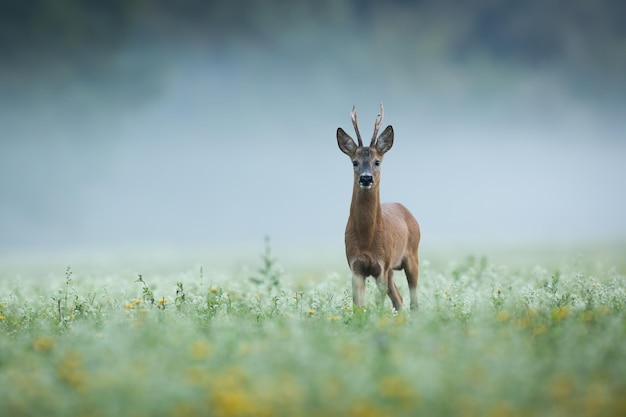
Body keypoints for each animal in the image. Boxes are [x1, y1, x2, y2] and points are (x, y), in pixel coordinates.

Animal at [336, 103, 420, 312]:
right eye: (354, 162)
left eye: (377, 162)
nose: (366, 178)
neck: (366, 240)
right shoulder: (355, 266)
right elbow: (358, 307)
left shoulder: (382, 265)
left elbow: (379, 305)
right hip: (391, 270)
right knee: (399, 299)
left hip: (412, 255)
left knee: (413, 301)